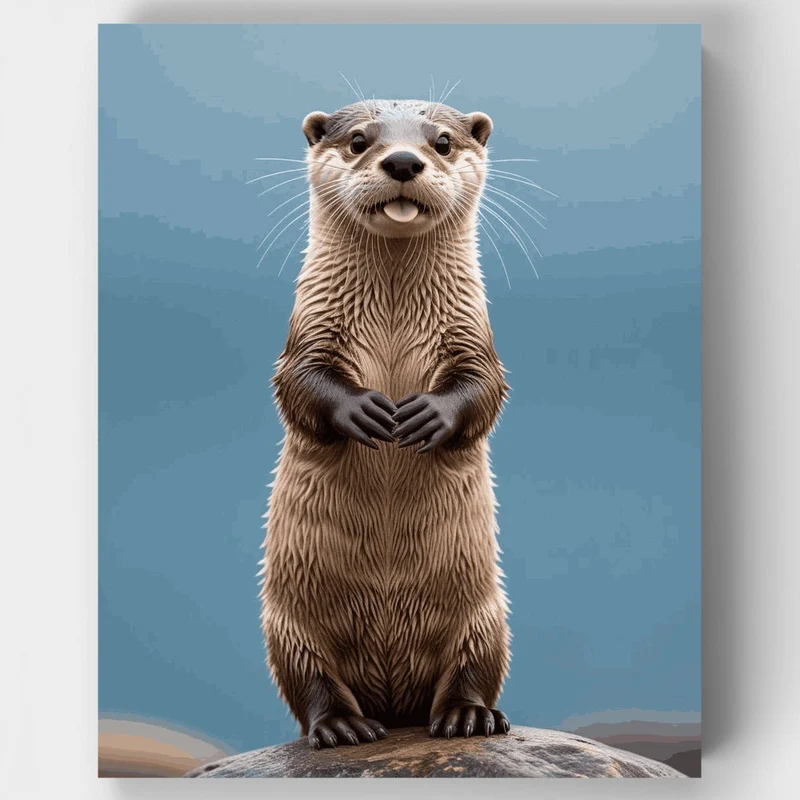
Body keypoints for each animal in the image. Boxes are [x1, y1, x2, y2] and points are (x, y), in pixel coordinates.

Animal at [260, 99, 511, 749]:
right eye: (358, 140)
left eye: (442, 141)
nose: (402, 161)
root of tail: (396, 705)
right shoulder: (309, 331)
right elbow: (298, 384)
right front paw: (365, 410)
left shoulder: (473, 334)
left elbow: (485, 388)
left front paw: (427, 414)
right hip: (287, 627)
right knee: (312, 681)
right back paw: (342, 726)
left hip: (487, 618)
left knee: (472, 669)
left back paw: (469, 717)